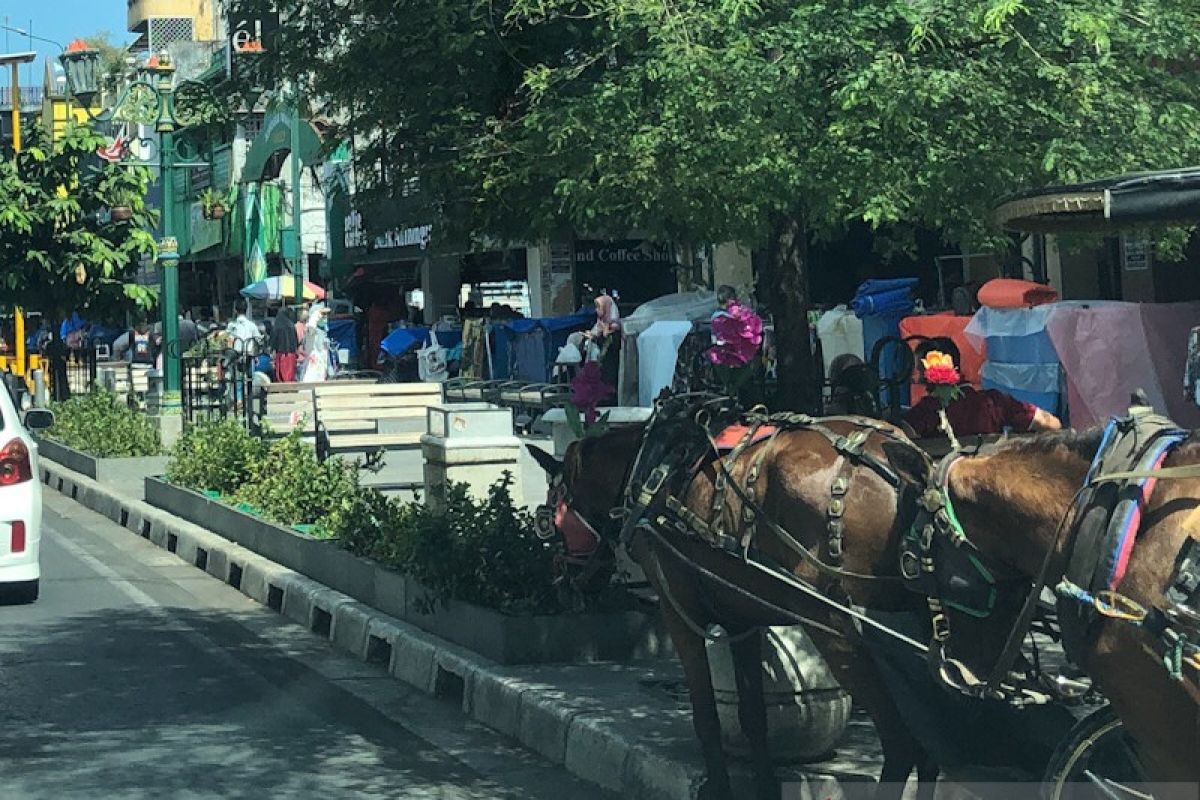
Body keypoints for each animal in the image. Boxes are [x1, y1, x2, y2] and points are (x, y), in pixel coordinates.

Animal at [535, 412, 1032, 800]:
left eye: (551, 512)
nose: (562, 582)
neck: (655, 469)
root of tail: (909, 473)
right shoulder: (743, 619)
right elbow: (754, 717)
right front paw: (763, 785)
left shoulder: (679, 612)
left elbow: (706, 716)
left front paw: (720, 788)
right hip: (927, 631)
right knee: (929, 744)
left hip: (837, 628)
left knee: (902, 745)